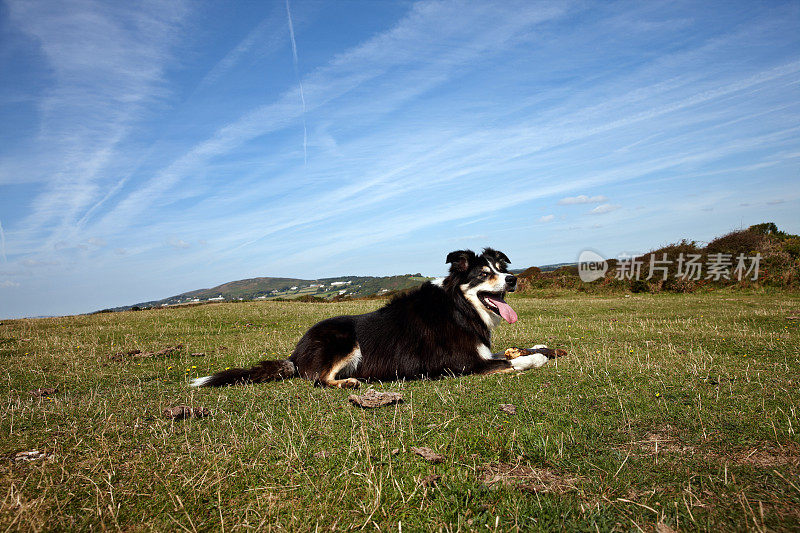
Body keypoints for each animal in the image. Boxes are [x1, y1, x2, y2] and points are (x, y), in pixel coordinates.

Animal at [193, 247, 552, 388]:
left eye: (501, 269)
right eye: (483, 274)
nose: (513, 279)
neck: (459, 307)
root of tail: (295, 353)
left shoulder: (480, 352)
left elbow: (516, 352)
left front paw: (540, 348)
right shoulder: (466, 364)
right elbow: (514, 362)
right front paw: (538, 359)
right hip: (344, 341)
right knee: (319, 380)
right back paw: (349, 382)